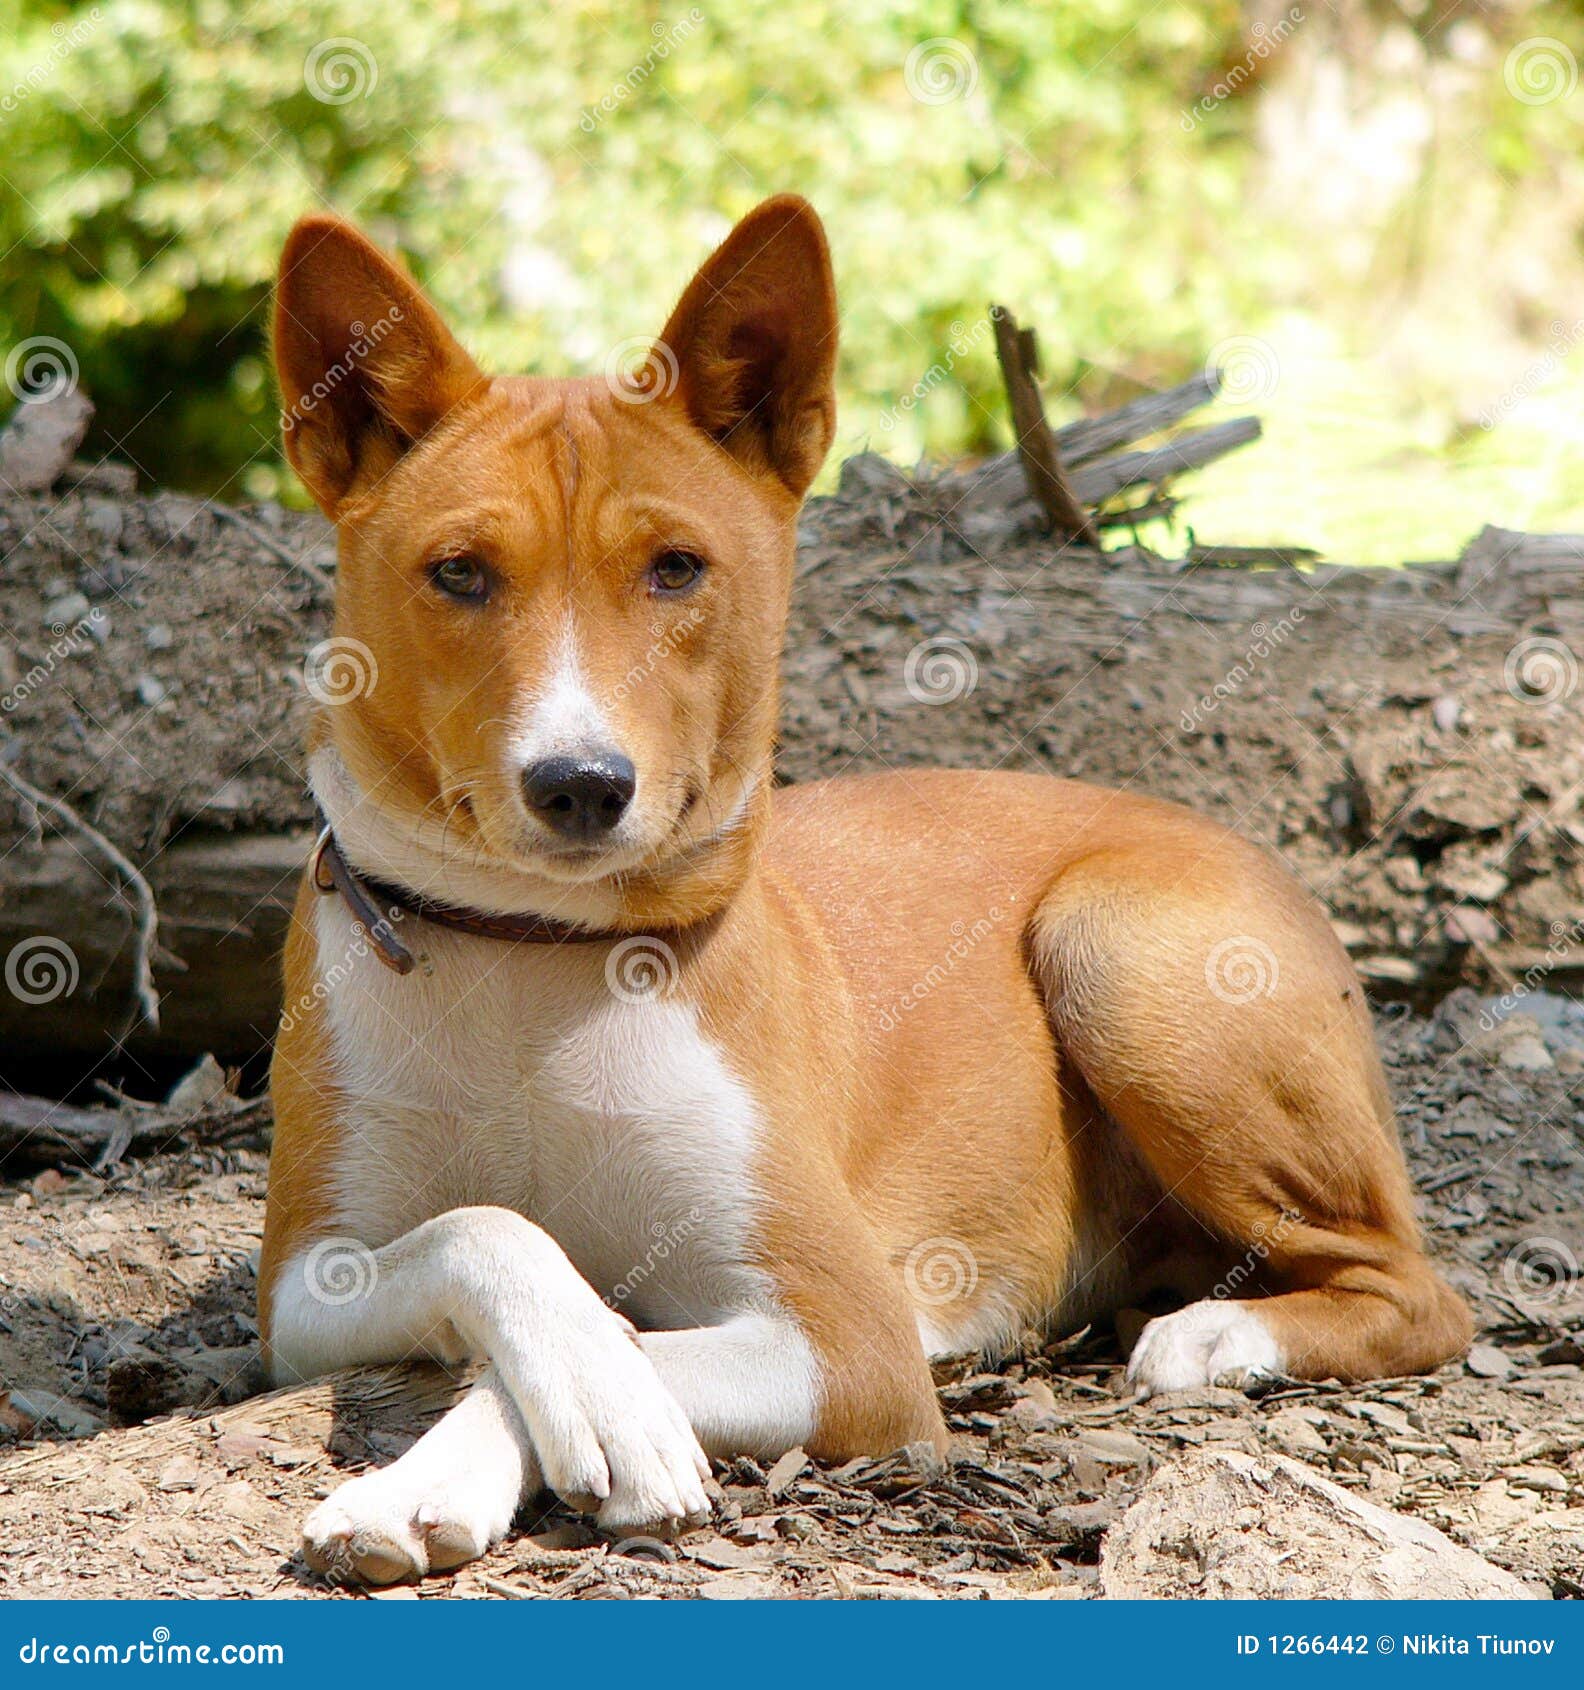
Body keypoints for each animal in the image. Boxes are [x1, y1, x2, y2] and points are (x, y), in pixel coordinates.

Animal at [260, 194, 1474, 1581]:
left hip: (1119, 953)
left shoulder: (848, 1335)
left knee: (1421, 1289)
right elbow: (493, 1233)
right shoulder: (305, 1282)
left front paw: (560, 1424)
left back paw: (1217, 1337)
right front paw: (528, 1410)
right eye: (459, 572)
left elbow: (623, 1343)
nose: (580, 783)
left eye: (676, 569)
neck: (540, 961)